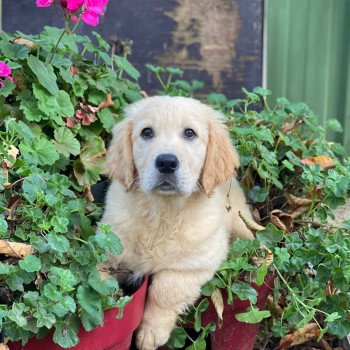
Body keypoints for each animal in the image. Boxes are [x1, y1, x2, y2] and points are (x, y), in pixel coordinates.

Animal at [102, 95, 253, 350]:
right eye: (147, 132)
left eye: (190, 133)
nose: (166, 162)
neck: (163, 212)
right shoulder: (110, 246)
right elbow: (96, 278)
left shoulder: (199, 261)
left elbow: (166, 288)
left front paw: (151, 333)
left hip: (242, 221)